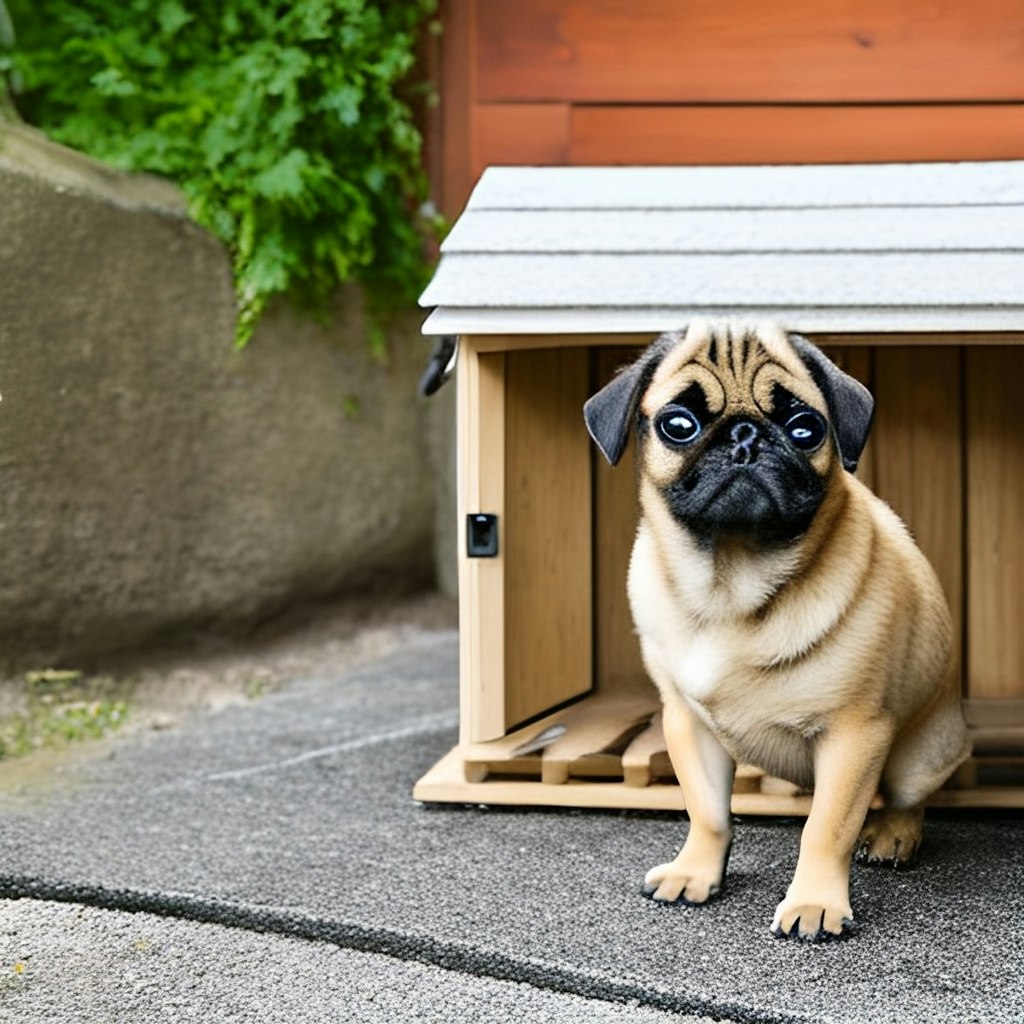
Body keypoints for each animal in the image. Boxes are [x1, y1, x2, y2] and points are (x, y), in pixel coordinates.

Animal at [585, 319, 966, 937]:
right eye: (678, 424)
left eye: (805, 428)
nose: (745, 435)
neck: (730, 585)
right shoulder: (687, 723)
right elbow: (708, 812)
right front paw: (696, 872)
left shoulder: (854, 734)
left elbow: (827, 827)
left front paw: (814, 902)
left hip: (919, 757)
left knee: (907, 799)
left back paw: (892, 835)